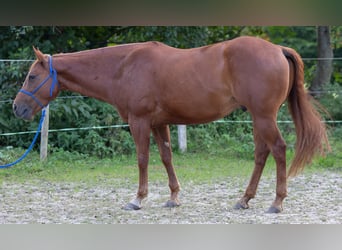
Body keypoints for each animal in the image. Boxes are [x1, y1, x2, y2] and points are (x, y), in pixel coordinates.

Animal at [12, 36, 328, 213]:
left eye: (31, 76)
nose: (17, 107)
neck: (123, 67)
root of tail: (277, 49)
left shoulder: (139, 122)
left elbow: (142, 158)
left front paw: (138, 199)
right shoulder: (159, 123)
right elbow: (166, 156)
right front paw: (174, 197)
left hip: (263, 116)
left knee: (278, 149)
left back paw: (276, 203)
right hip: (257, 117)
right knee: (262, 153)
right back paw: (244, 199)